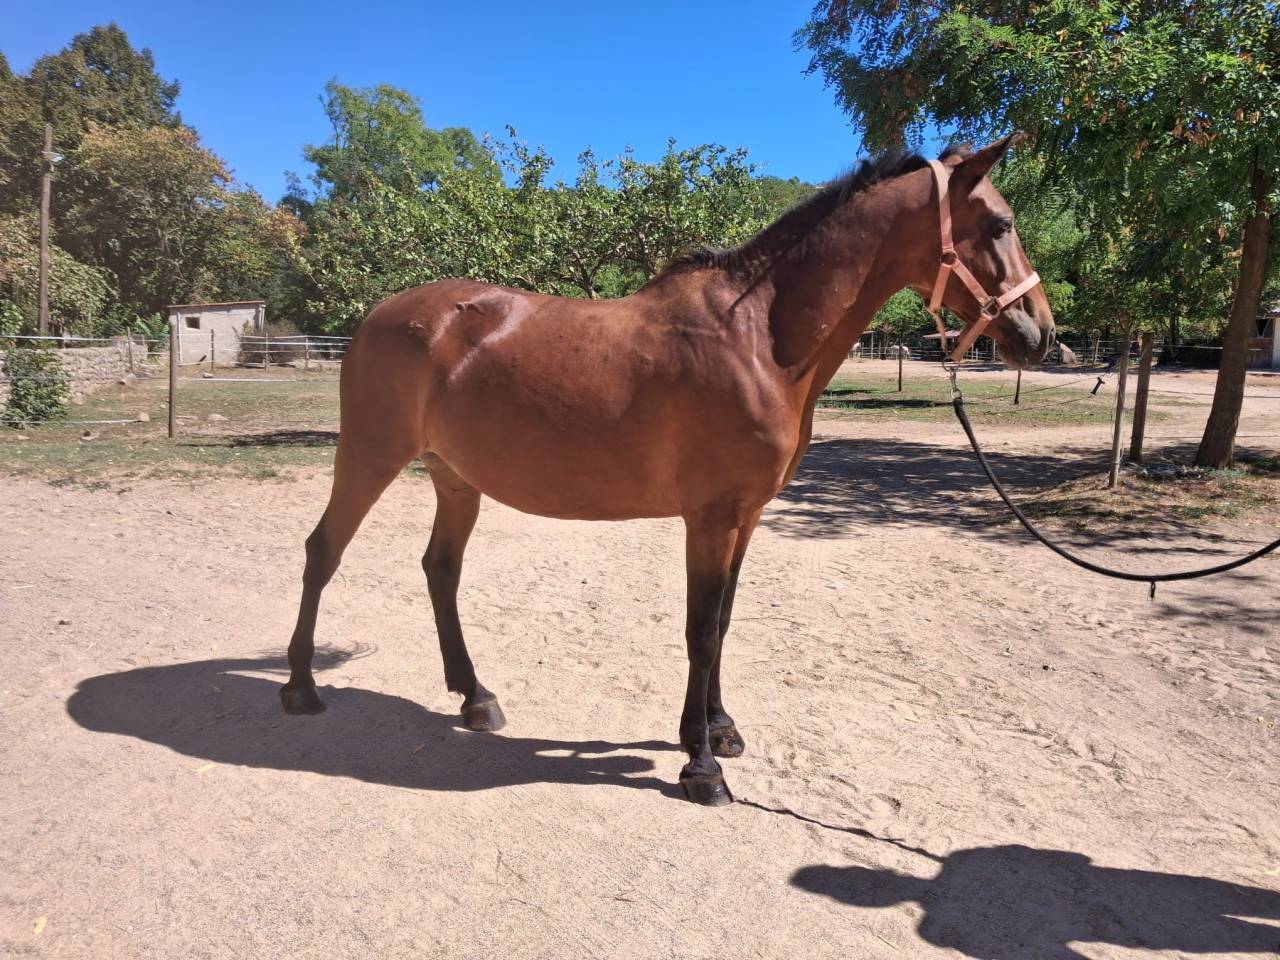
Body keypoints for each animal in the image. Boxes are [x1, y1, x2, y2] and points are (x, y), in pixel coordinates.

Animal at [281, 135, 1056, 805]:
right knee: (322, 551)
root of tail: (379, 314)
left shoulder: (746, 516)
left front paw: (719, 728)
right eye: (1000, 224)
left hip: (455, 478)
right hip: (371, 456)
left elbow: (726, 620)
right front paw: (702, 766)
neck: (757, 338)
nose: (1041, 334)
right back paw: (300, 687)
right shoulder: (709, 518)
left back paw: (476, 697)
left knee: (440, 571)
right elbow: (701, 630)